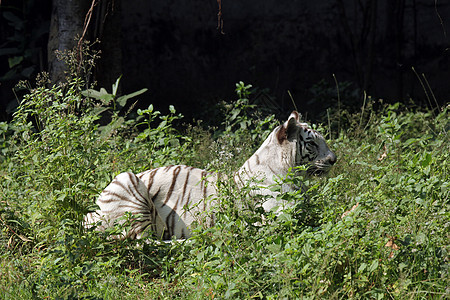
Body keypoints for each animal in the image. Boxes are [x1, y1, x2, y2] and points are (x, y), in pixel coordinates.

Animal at [85, 111, 338, 240]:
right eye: (312, 142)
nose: (334, 159)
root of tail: (94, 210)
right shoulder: (281, 216)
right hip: (127, 181)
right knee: (142, 241)